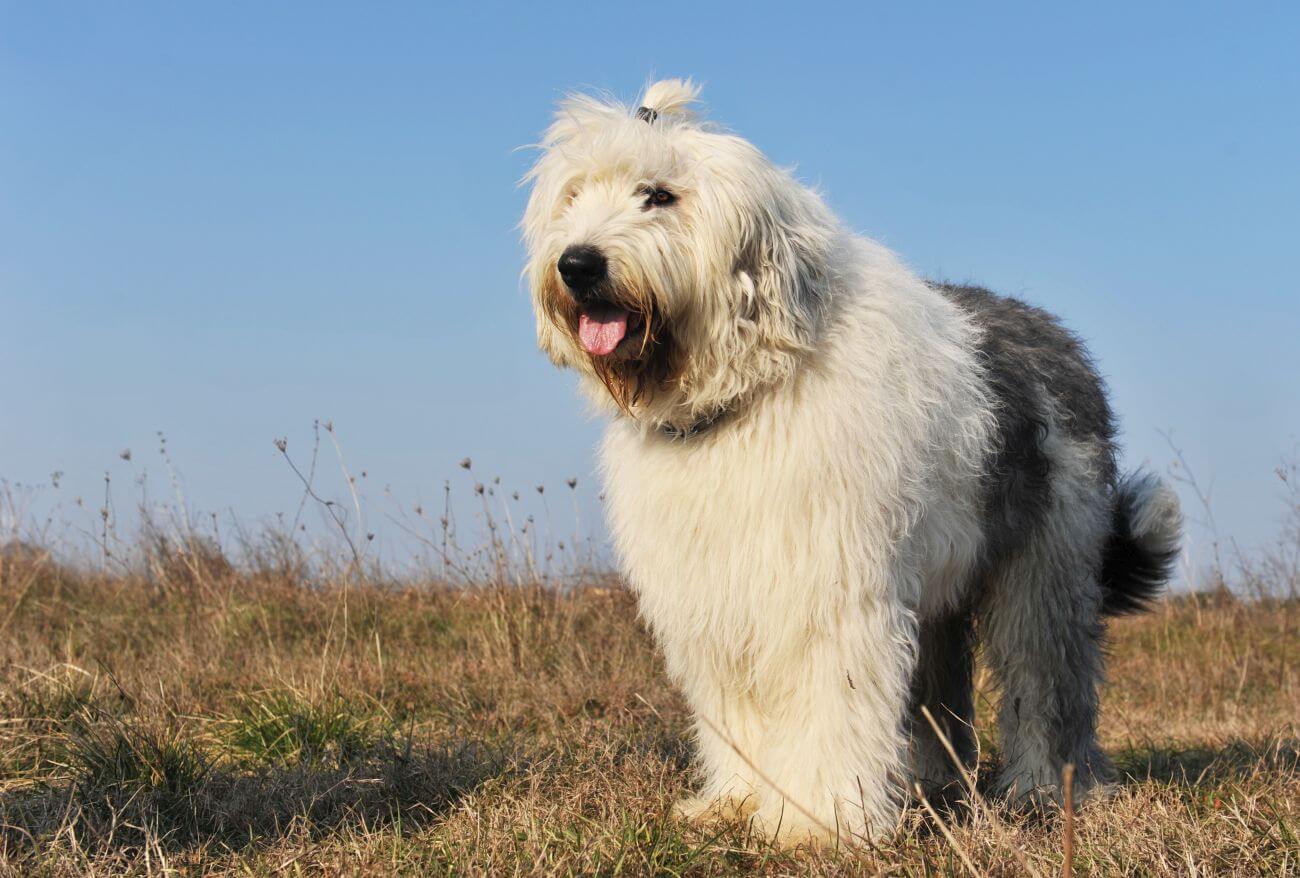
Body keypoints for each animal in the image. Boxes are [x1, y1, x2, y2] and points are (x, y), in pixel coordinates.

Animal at [517, 80, 1180, 842]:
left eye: (659, 194)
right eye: (573, 195)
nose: (578, 264)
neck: (748, 392)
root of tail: (1057, 334)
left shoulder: (824, 587)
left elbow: (829, 699)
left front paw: (816, 820)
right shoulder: (717, 596)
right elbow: (740, 707)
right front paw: (738, 800)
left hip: (1047, 564)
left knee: (1045, 674)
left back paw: (1046, 787)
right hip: (937, 587)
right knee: (937, 690)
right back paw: (930, 784)